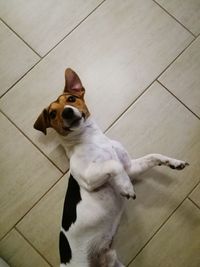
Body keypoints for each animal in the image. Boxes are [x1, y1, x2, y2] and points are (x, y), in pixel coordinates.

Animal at [33, 69, 188, 267]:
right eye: (53, 114)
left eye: (71, 99)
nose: (67, 111)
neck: (91, 139)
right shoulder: (88, 178)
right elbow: (113, 164)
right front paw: (126, 187)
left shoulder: (130, 168)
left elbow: (153, 156)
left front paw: (173, 162)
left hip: (113, 260)